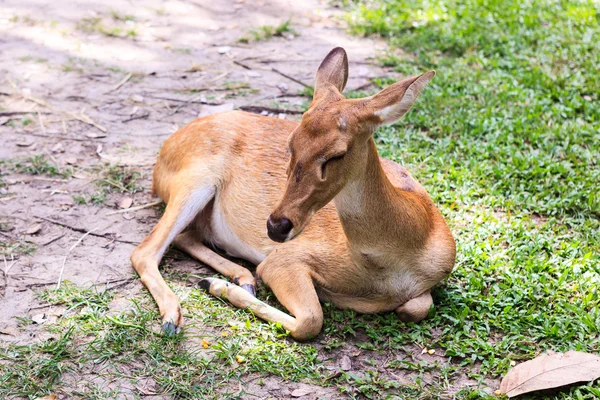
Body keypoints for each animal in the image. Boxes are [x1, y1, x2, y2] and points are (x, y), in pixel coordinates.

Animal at [131, 47, 458, 340]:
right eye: (291, 143)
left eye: (336, 154)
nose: (276, 226)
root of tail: (166, 147)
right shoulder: (284, 258)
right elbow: (311, 320)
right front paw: (217, 286)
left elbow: (415, 307)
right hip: (194, 179)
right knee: (145, 251)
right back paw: (175, 316)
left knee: (185, 237)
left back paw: (240, 277)